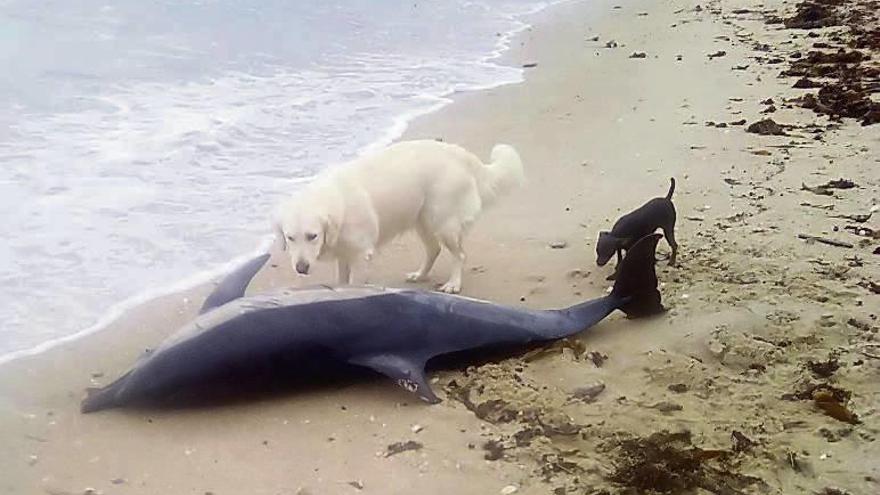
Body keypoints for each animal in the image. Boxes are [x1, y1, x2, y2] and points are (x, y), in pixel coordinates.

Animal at [276, 139, 524, 294]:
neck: (339, 202)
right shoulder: (345, 254)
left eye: (313, 236)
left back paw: (453, 284)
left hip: (444, 223)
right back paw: (419, 275)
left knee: (459, 255)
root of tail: (461, 154)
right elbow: (341, 281)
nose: (301, 268)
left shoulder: (361, 255)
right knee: (434, 249)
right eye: (290, 238)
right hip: (422, 220)